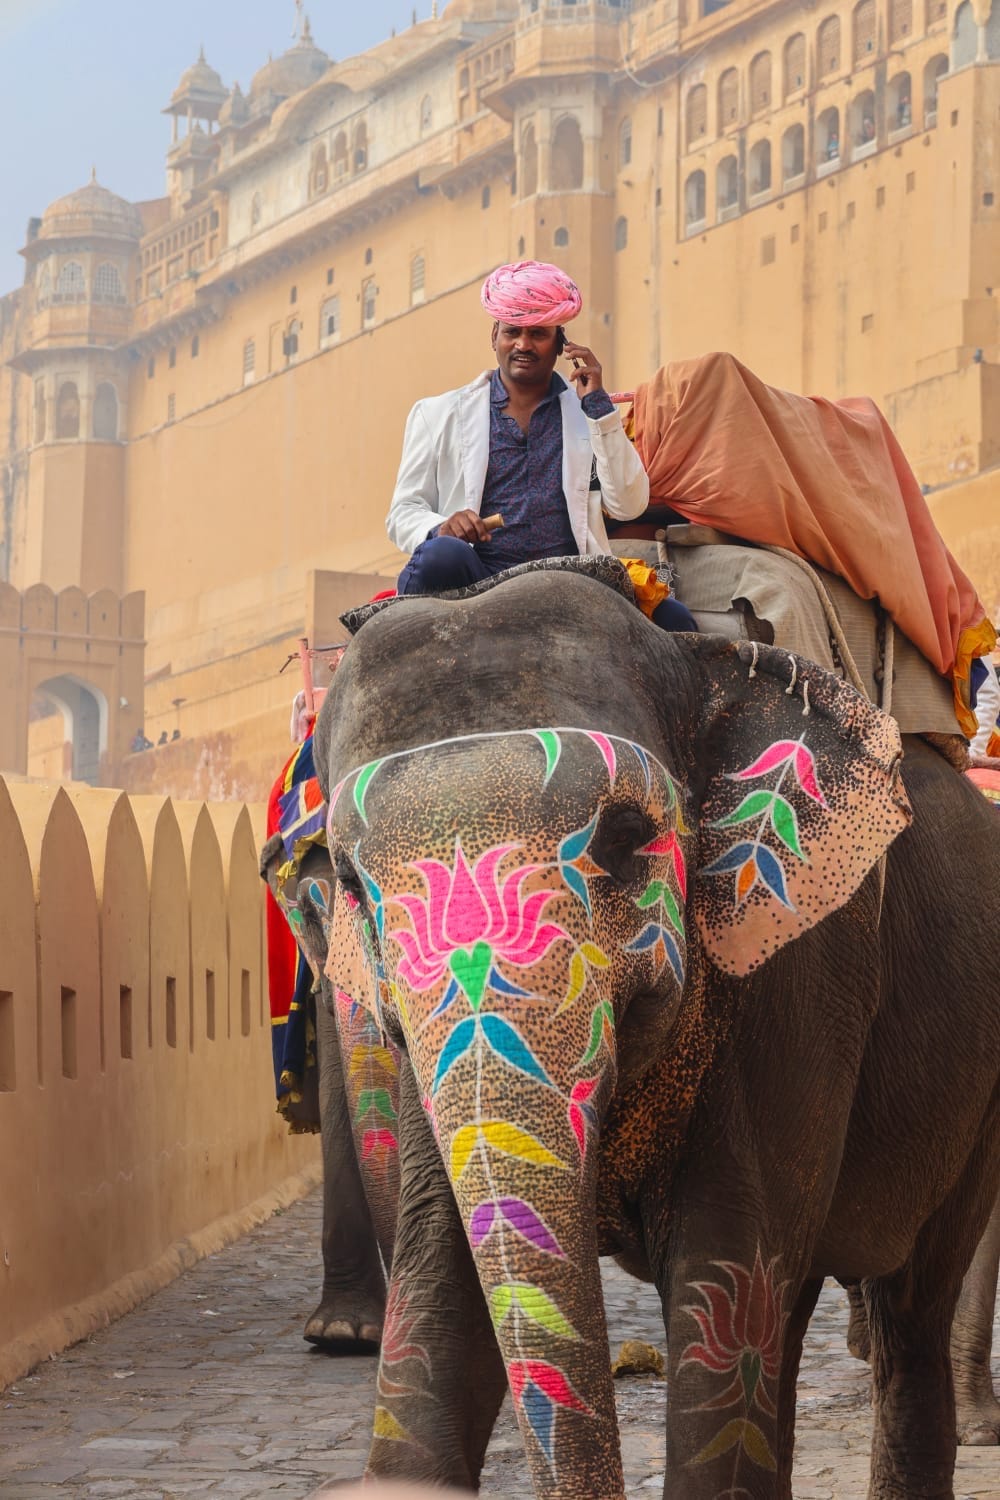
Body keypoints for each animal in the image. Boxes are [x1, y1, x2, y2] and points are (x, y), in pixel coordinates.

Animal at [311, 564, 1000, 1500]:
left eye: (626, 835)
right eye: (351, 883)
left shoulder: (794, 965)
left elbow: (725, 1270)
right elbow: (439, 1283)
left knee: (904, 1310)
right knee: (790, 1312)